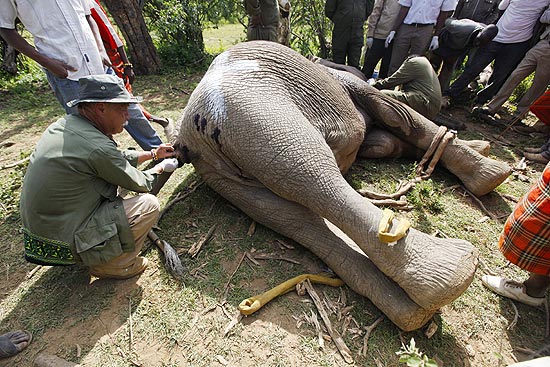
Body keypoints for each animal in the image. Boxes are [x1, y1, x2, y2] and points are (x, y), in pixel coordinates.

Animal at [174, 41, 512, 332]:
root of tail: (193, 132)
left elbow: (386, 141)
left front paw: (480, 149)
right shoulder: (351, 84)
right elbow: (398, 116)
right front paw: (494, 172)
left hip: (224, 171)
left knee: (291, 217)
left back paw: (413, 311)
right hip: (255, 110)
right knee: (312, 172)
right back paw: (454, 272)